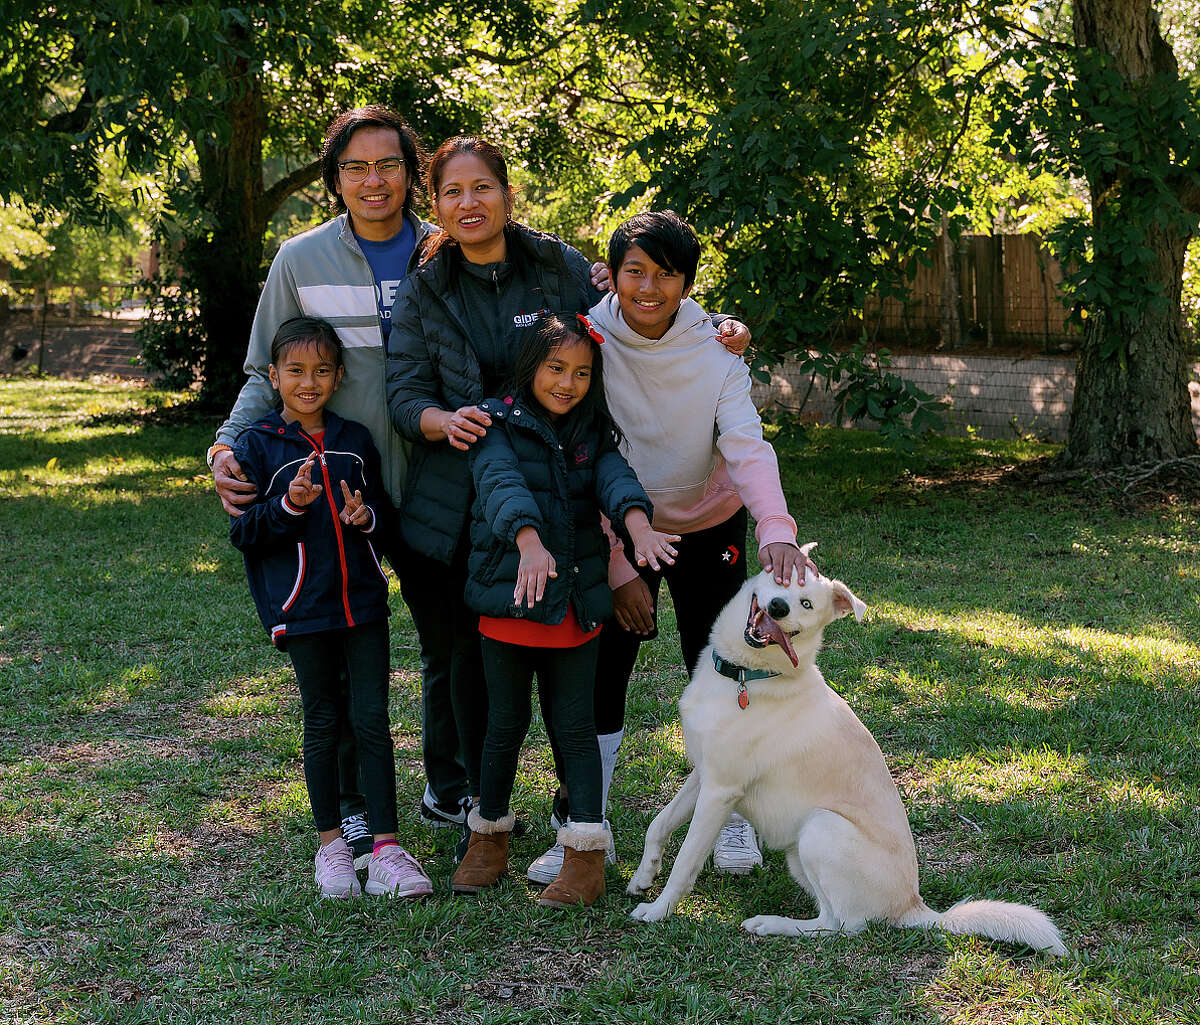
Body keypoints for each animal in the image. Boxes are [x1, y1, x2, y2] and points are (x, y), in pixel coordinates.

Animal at [624, 554, 1065, 955]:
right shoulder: (703, 775)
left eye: (806, 604)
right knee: (833, 918)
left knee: (841, 926)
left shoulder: (720, 791)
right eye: (781, 580)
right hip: (799, 851)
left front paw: (658, 911)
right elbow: (659, 824)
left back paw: (771, 924)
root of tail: (913, 907)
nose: (778, 607)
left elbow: (686, 860)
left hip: (820, 828)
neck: (749, 676)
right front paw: (643, 876)